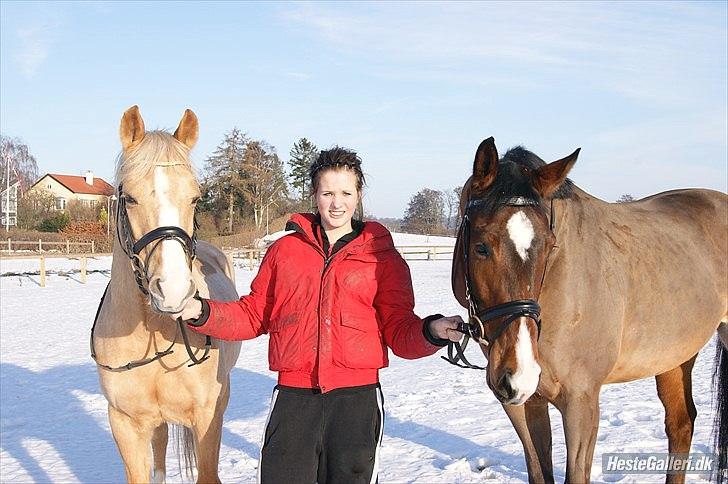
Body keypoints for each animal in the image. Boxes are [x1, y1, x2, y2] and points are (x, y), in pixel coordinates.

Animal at [452, 137, 724, 484]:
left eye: (549, 245)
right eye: (481, 247)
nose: (519, 372)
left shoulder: (581, 403)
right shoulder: (524, 404)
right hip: (674, 357)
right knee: (680, 424)